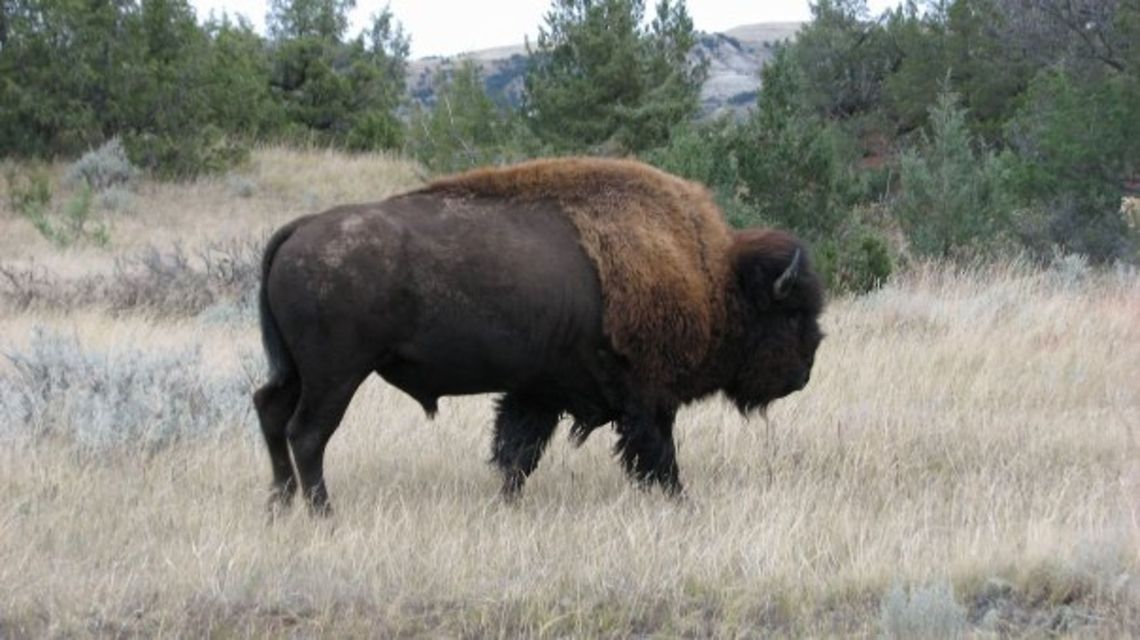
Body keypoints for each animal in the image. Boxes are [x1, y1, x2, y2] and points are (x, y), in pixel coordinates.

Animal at [253, 157, 823, 514]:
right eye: (791, 314)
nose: (804, 372)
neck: (712, 275)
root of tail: (300, 228)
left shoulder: (539, 391)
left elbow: (517, 454)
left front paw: (505, 505)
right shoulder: (647, 399)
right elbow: (659, 458)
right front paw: (684, 503)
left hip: (296, 372)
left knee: (270, 412)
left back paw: (279, 506)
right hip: (336, 375)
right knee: (307, 433)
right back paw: (323, 513)